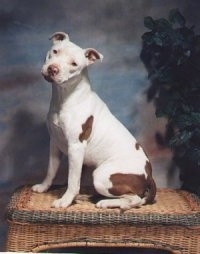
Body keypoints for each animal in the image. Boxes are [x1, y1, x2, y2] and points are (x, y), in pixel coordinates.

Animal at [32, 32, 156, 210]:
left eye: (74, 64)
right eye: (55, 51)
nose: (52, 69)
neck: (64, 97)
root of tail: (149, 175)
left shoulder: (75, 147)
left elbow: (73, 180)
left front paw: (65, 200)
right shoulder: (54, 143)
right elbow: (51, 170)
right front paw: (43, 187)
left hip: (101, 176)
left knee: (135, 199)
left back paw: (107, 203)